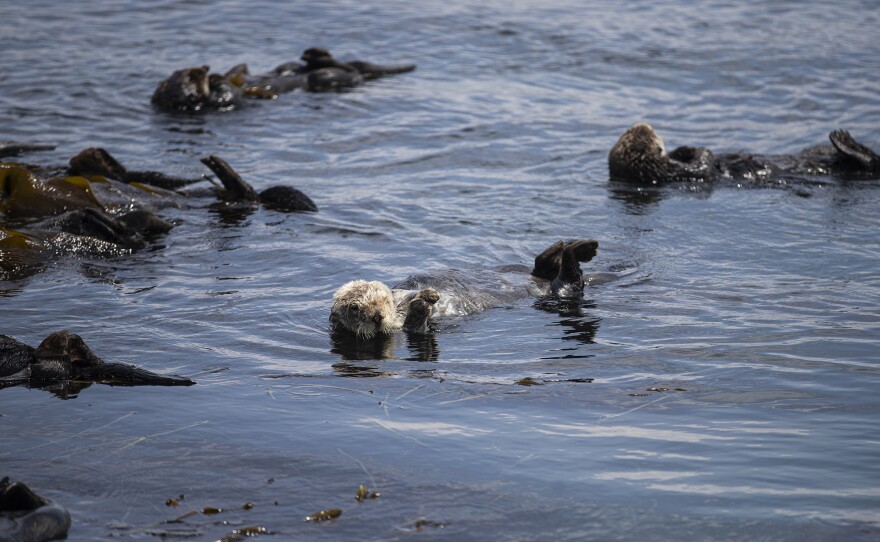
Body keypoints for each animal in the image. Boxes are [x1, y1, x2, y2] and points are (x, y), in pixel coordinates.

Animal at [330, 239, 600, 340]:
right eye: (354, 310)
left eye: (375, 300)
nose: (375, 316)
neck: (398, 308)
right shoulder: (405, 331)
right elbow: (417, 326)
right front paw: (423, 303)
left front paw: (426, 295)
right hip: (563, 290)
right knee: (568, 279)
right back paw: (578, 249)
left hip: (538, 274)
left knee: (541, 266)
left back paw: (562, 247)